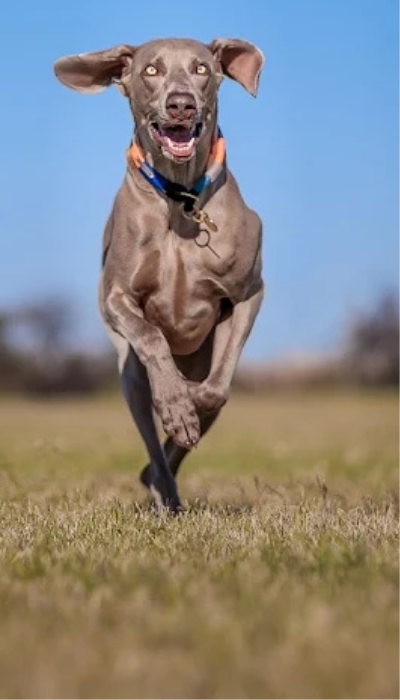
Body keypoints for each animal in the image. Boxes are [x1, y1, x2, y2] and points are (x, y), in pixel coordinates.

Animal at [54, 37, 265, 511]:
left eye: (202, 68)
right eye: (151, 70)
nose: (181, 104)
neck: (179, 197)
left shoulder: (249, 293)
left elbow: (214, 390)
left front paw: (187, 403)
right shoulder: (116, 298)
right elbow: (150, 336)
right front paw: (174, 400)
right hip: (129, 376)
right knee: (151, 438)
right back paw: (165, 490)